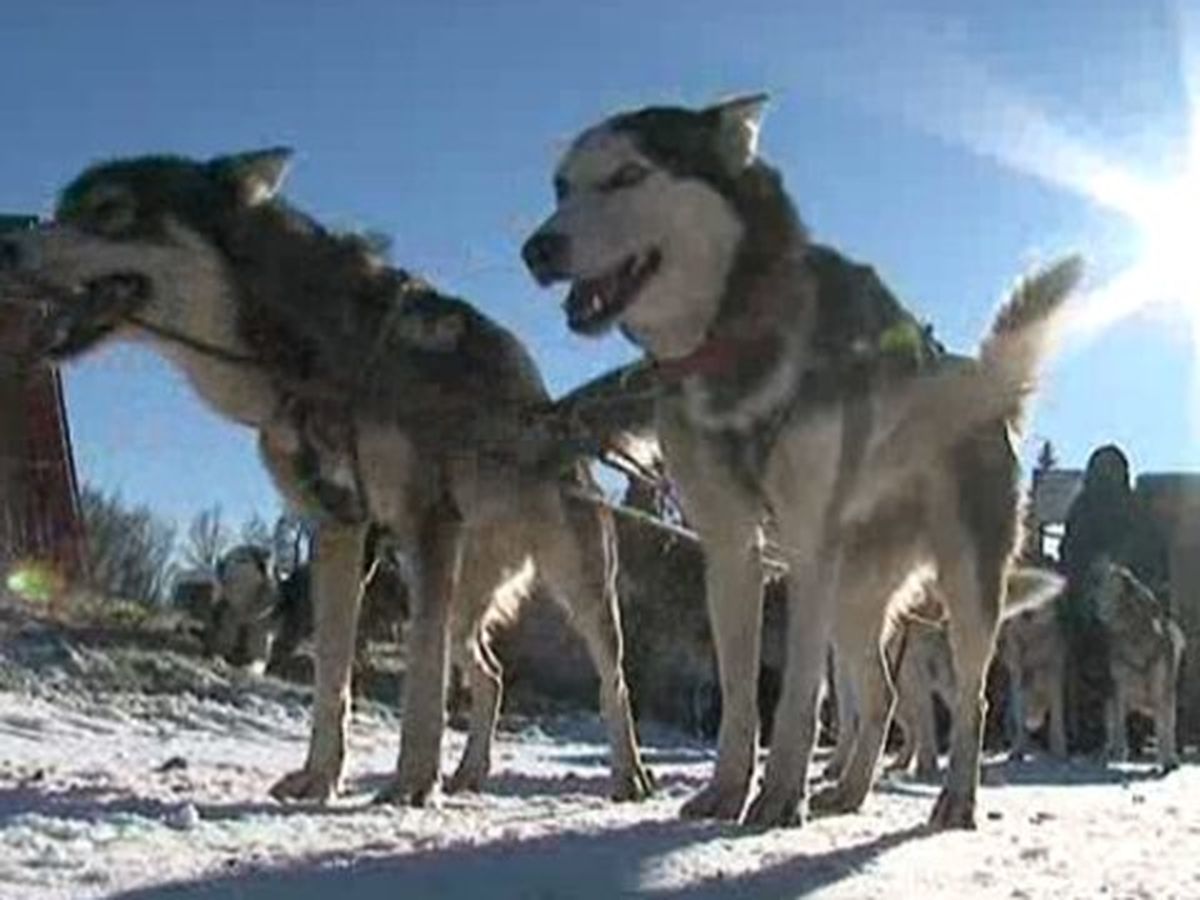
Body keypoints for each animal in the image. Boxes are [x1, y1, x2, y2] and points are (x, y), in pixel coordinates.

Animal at [0, 151, 648, 806]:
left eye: (109, 210)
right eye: (62, 208)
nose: (7, 246)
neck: (318, 356)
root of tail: (559, 416)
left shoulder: (423, 521)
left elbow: (421, 676)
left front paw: (413, 781)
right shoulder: (338, 530)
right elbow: (332, 673)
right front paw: (320, 775)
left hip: (573, 587)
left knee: (611, 681)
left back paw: (629, 773)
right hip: (463, 599)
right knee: (490, 675)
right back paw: (469, 772)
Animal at [520, 95, 1084, 830]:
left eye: (628, 175)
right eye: (561, 187)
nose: (536, 250)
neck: (734, 340)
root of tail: (985, 387)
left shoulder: (809, 546)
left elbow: (796, 696)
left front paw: (779, 796)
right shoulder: (732, 547)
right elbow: (738, 692)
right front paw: (728, 790)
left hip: (963, 586)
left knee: (971, 702)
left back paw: (955, 799)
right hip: (855, 594)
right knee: (879, 697)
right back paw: (850, 789)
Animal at [1094, 561, 1185, 772]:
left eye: (1105, 586)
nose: (1093, 602)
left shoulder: (1162, 693)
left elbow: (1164, 729)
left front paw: (1166, 760)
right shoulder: (1119, 691)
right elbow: (1119, 728)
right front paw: (1118, 754)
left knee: (1168, 726)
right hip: (1112, 700)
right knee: (1112, 726)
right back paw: (1109, 752)